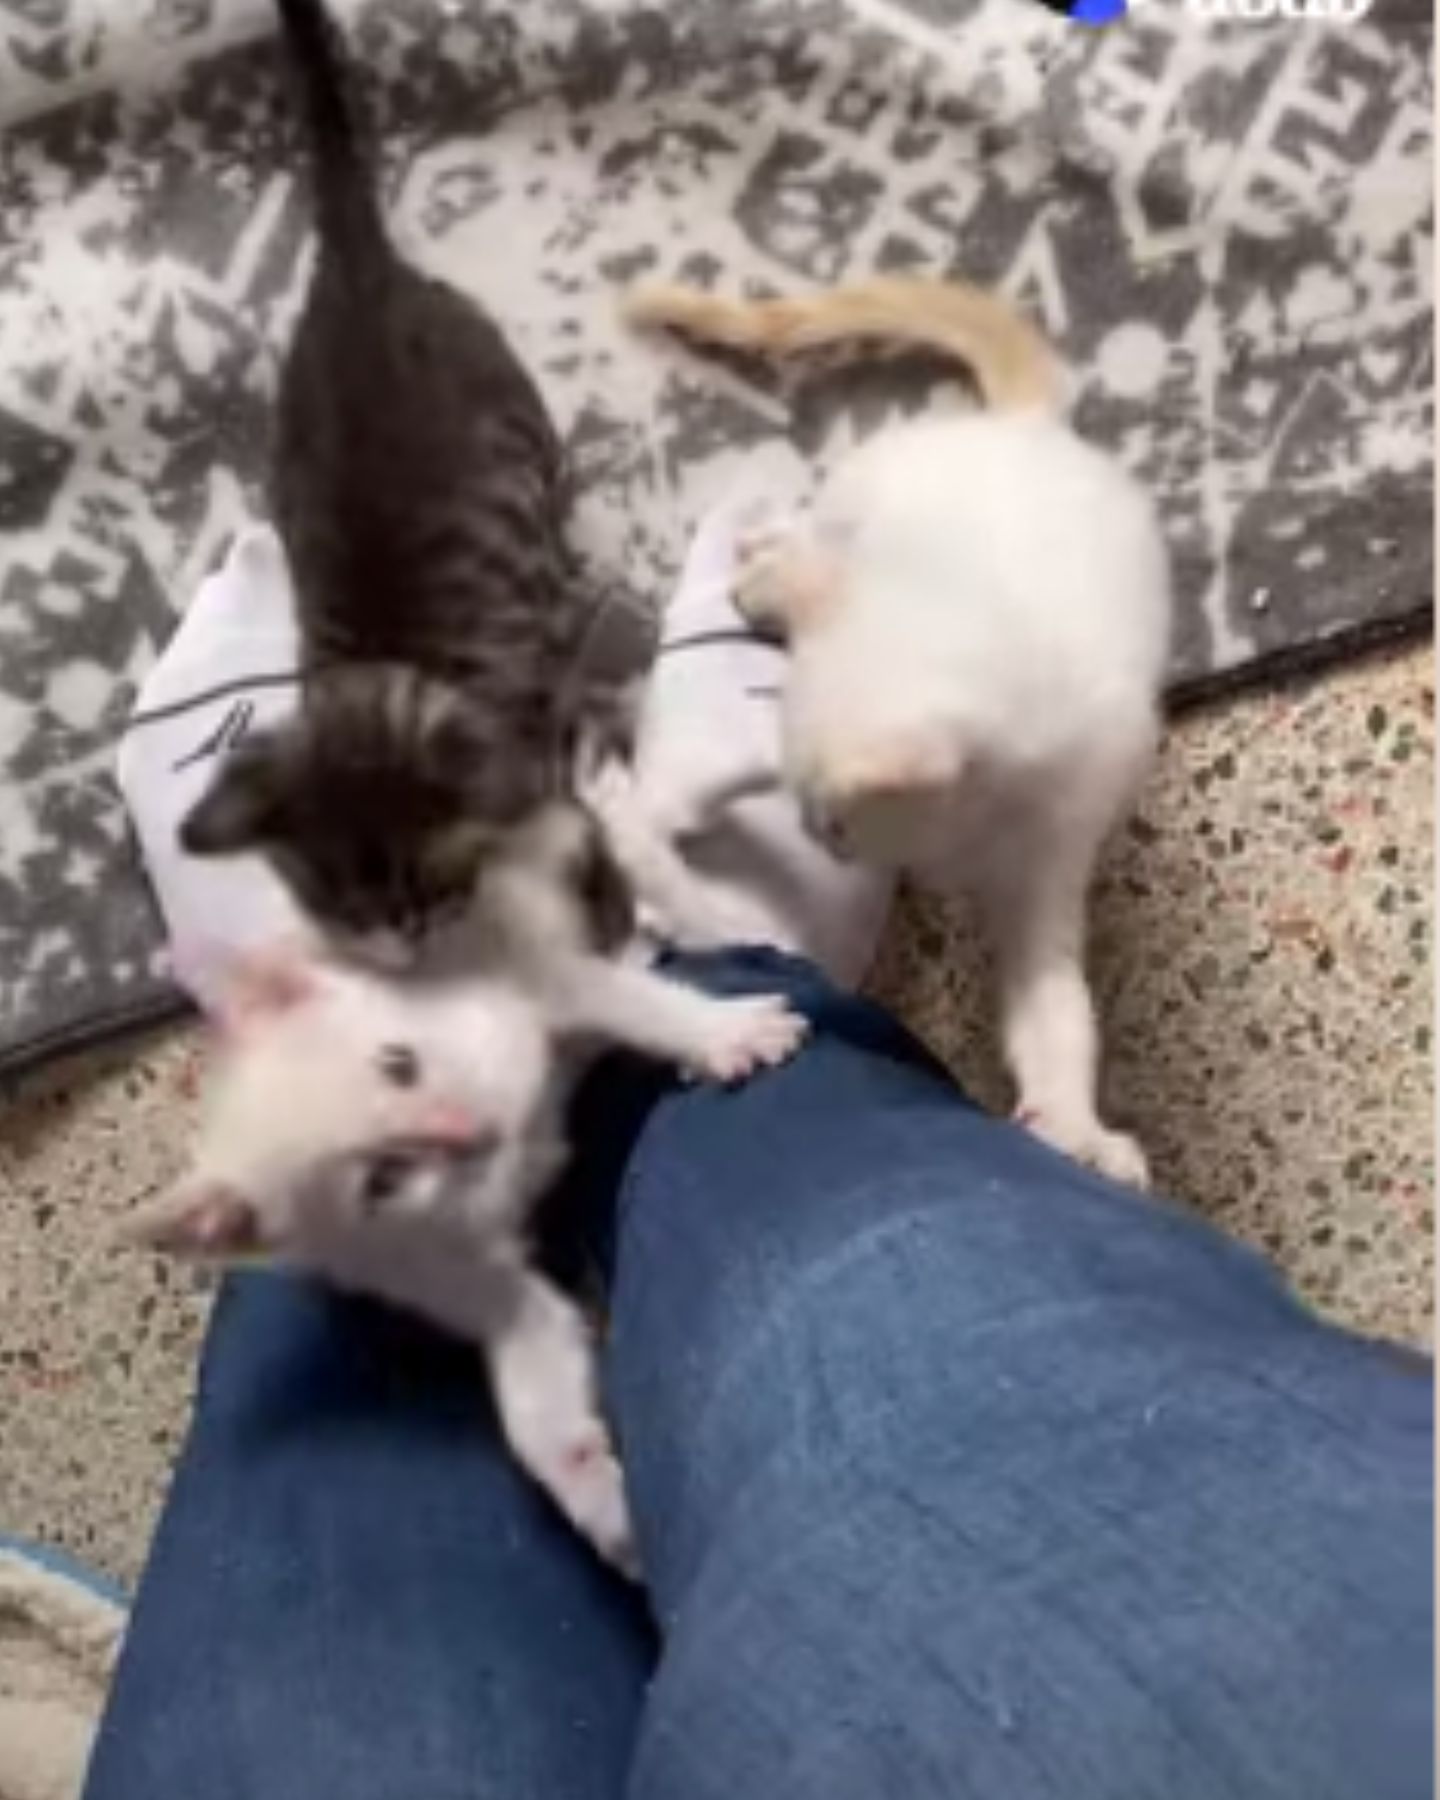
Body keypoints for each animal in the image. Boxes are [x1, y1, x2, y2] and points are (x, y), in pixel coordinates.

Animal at [181, 0, 597, 964]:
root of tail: (355, 274)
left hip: (513, 392)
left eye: (428, 895)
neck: (391, 669)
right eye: (337, 909)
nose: (399, 952)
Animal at [626, 277, 1166, 1180]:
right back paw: (771, 563)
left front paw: (1077, 1128)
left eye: (835, 821)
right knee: (824, 542)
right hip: (871, 485)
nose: (822, 840)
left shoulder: (1054, 840)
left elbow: (1055, 1008)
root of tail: (1027, 429)